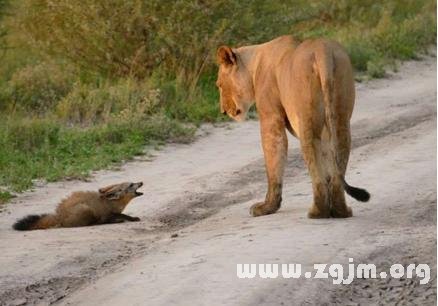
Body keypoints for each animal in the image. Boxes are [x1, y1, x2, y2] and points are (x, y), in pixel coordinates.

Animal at [13, 182, 144, 230]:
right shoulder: (106, 214)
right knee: (91, 224)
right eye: (131, 184)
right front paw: (132, 218)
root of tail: (59, 215)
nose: (141, 182)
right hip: (85, 209)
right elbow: (122, 215)